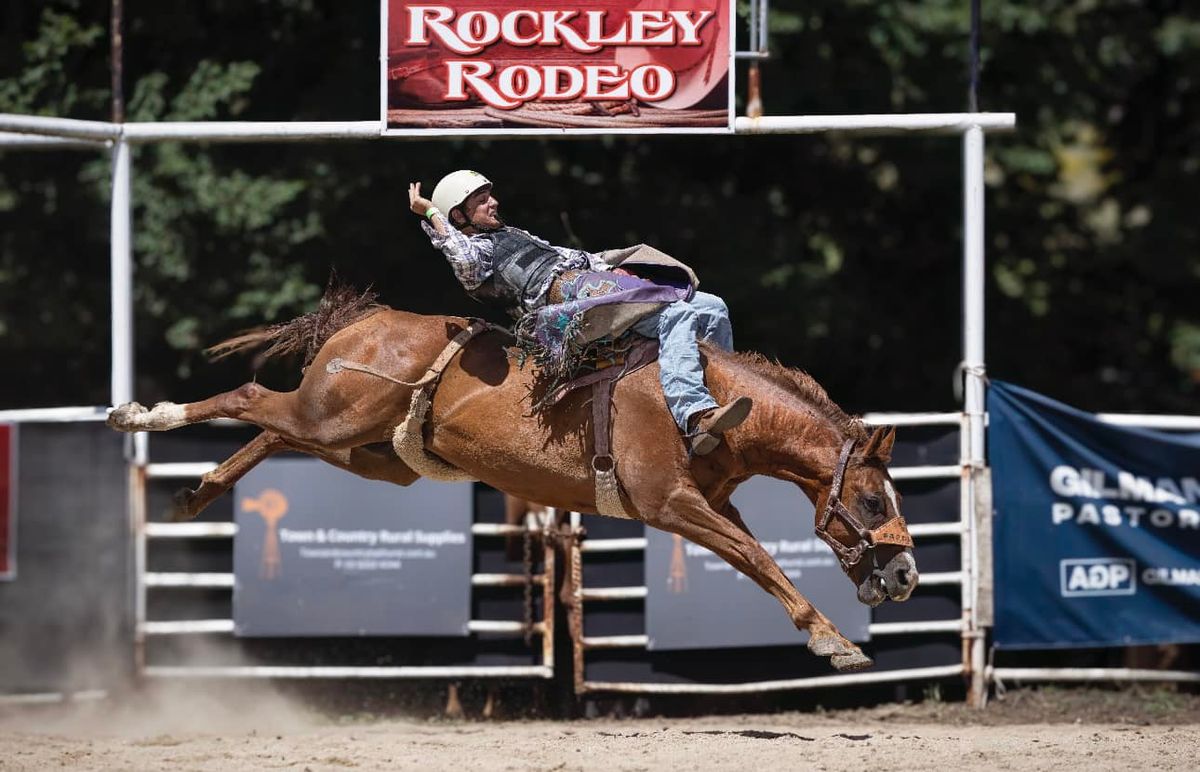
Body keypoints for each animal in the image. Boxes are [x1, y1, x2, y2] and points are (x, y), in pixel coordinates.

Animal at [110, 286, 916, 672]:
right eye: (872, 496)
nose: (906, 574)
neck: (706, 401)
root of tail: (361, 322)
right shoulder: (671, 504)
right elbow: (758, 558)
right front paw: (834, 642)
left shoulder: (709, 504)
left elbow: (755, 556)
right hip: (334, 418)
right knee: (252, 396)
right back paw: (141, 414)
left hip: (370, 450)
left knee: (275, 428)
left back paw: (196, 493)